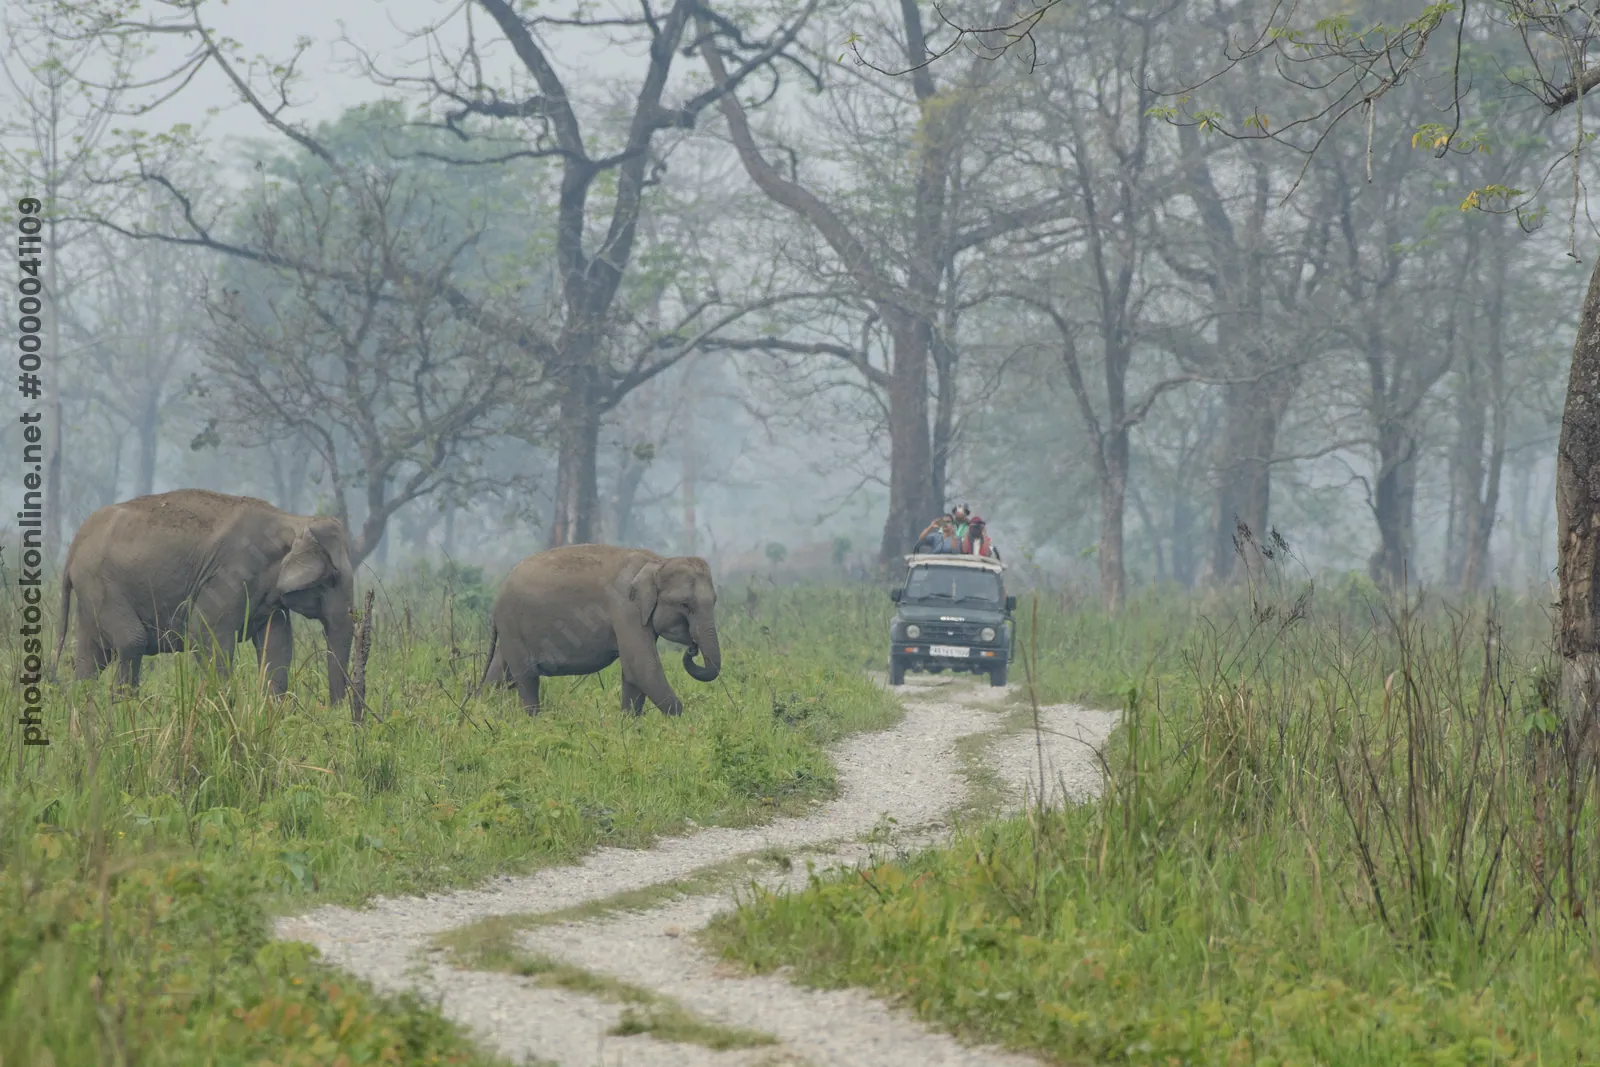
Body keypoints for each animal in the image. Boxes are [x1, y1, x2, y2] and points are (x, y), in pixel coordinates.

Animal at [54, 489, 357, 710]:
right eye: (331, 578)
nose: (332, 711)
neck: (293, 521)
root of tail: (76, 543)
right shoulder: (231, 575)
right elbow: (205, 634)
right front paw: (224, 708)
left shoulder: (269, 598)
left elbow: (277, 646)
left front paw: (272, 713)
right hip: (101, 585)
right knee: (131, 642)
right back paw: (123, 712)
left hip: (91, 595)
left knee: (92, 658)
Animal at [477, 544, 721, 716]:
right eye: (685, 605)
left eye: (715, 601)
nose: (692, 649)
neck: (658, 562)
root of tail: (496, 600)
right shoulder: (625, 609)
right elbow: (641, 666)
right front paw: (684, 726)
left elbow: (632, 674)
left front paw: (629, 727)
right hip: (512, 625)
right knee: (527, 678)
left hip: (510, 631)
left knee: (500, 672)